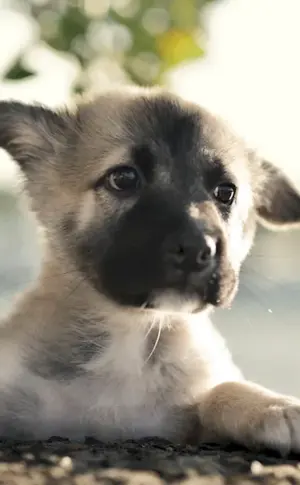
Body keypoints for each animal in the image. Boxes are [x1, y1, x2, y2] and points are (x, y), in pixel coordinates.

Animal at [0, 85, 300, 452]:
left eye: (225, 192)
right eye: (124, 178)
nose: (197, 250)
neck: (132, 335)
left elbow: (222, 389)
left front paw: (274, 405)